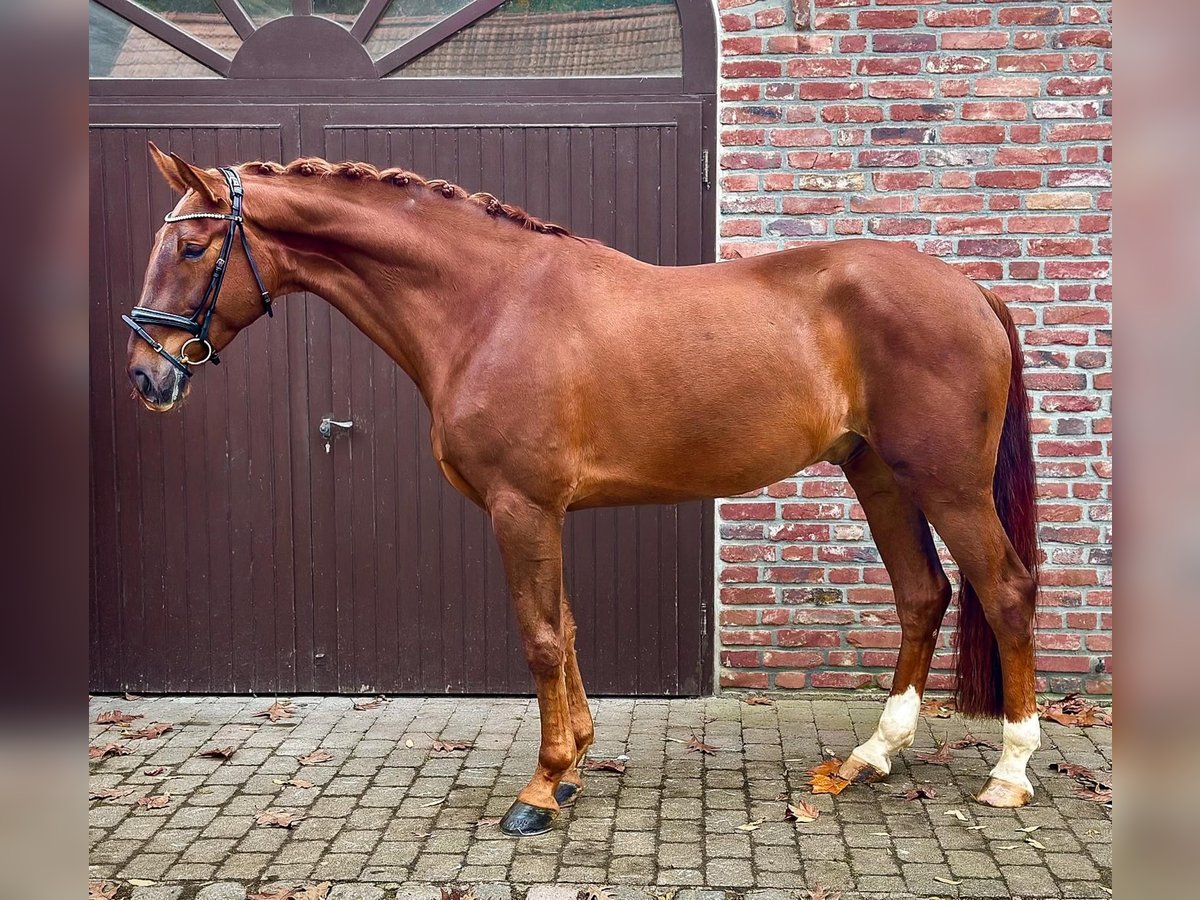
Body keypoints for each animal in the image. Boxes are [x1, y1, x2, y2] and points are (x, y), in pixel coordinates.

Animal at [124, 144, 1041, 835]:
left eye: (193, 249)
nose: (145, 376)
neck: (489, 305)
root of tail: (972, 290)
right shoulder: (544, 512)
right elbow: (563, 627)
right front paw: (575, 765)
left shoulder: (520, 507)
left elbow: (538, 638)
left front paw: (541, 787)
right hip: (877, 473)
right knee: (922, 594)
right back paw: (872, 755)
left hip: (948, 483)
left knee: (1005, 589)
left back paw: (1010, 770)